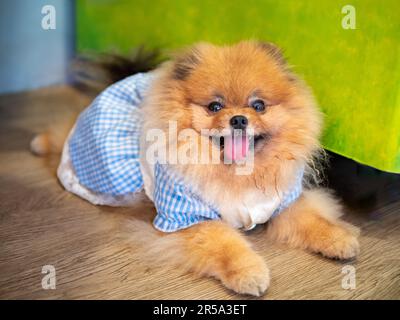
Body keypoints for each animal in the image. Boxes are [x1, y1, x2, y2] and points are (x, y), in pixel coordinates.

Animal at [32, 41, 360, 296]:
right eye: (215, 106)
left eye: (258, 105)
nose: (238, 119)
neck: (238, 174)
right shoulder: (187, 215)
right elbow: (226, 243)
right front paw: (249, 271)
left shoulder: (279, 201)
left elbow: (312, 220)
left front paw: (340, 238)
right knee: (64, 132)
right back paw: (39, 142)